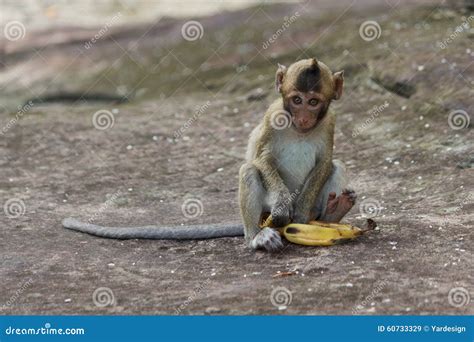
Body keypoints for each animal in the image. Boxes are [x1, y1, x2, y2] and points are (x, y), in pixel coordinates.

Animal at [61, 58, 354, 251]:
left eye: (313, 102)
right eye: (296, 100)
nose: (303, 117)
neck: (298, 130)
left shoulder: (329, 121)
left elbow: (325, 162)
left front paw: (302, 217)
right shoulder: (274, 116)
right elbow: (261, 159)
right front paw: (284, 207)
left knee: (337, 166)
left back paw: (331, 214)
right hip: (264, 212)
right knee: (249, 171)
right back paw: (256, 237)